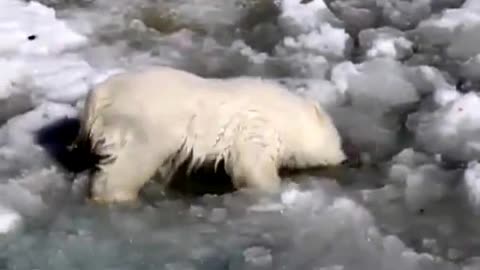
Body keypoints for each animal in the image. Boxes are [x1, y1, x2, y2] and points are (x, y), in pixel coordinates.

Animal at [74, 67, 344, 202]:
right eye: (336, 140)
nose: (343, 157)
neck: (287, 115)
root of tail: (97, 96)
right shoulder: (256, 128)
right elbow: (251, 167)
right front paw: (273, 189)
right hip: (143, 122)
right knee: (134, 161)